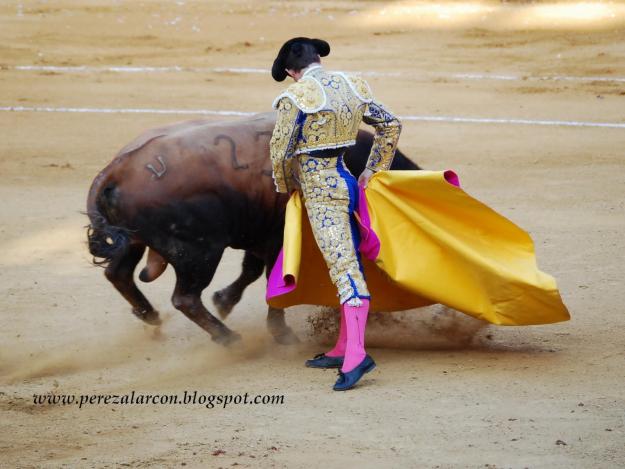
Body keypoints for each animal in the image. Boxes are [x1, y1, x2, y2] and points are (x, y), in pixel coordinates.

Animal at [85, 112, 420, 346]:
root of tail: (118, 167)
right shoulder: (276, 239)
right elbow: (272, 279)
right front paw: (280, 333)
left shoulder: (260, 235)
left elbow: (251, 270)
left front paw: (224, 300)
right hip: (199, 253)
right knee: (185, 298)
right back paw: (228, 338)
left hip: (134, 241)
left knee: (118, 273)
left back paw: (152, 317)